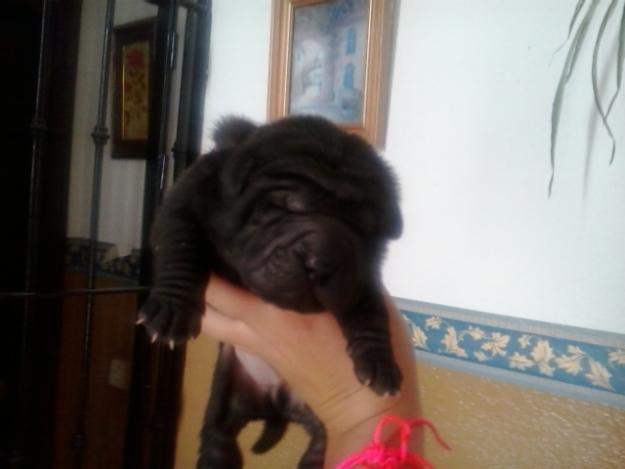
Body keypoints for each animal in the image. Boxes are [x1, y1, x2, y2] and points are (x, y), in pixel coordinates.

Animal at [138, 114, 400, 468]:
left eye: (362, 232)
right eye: (283, 206)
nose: (323, 259)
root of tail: (278, 404)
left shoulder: (362, 275)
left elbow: (370, 313)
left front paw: (381, 363)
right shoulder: (186, 199)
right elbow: (181, 245)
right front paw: (171, 311)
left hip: (319, 422)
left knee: (318, 448)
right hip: (228, 392)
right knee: (218, 437)